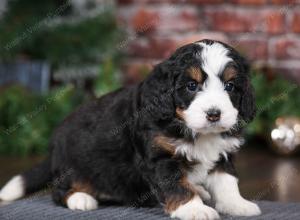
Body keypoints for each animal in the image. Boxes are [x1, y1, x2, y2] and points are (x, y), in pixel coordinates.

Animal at [0, 40, 260, 220]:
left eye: (230, 86)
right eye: (191, 85)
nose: (214, 114)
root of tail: (54, 145)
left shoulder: (222, 152)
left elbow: (227, 181)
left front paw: (237, 204)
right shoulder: (160, 157)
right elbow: (176, 184)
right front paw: (194, 209)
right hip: (72, 164)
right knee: (59, 190)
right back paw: (80, 198)